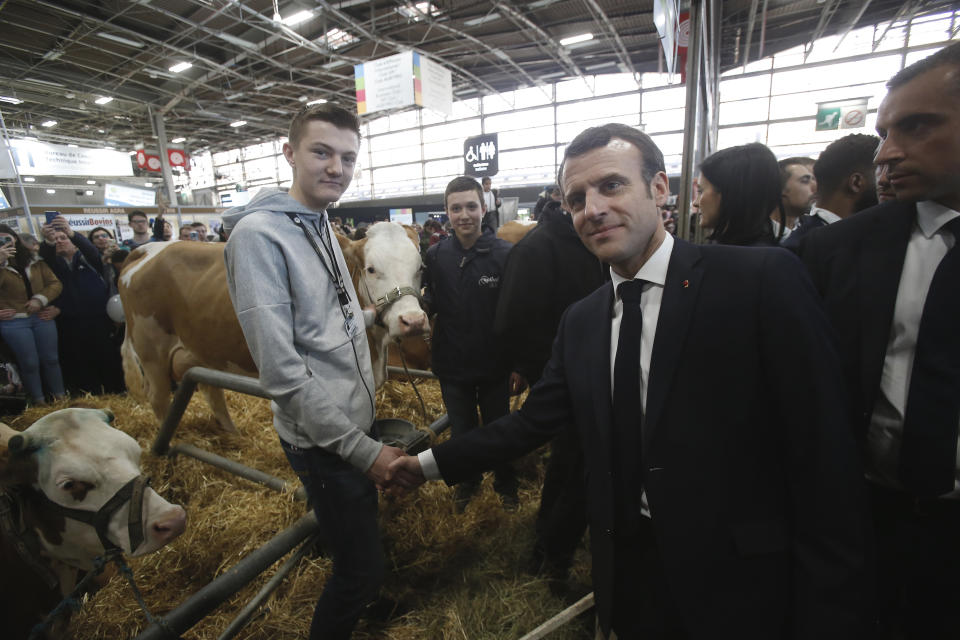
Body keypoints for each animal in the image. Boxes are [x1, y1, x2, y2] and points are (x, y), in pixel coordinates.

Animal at [118, 222, 426, 432]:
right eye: (372, 269)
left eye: (421, 266)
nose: (412, 320)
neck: (375, 351)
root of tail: (148, 249)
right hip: (151, 352)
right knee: (158, 398)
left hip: (199, 350)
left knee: (211, 391)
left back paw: (232, 434)